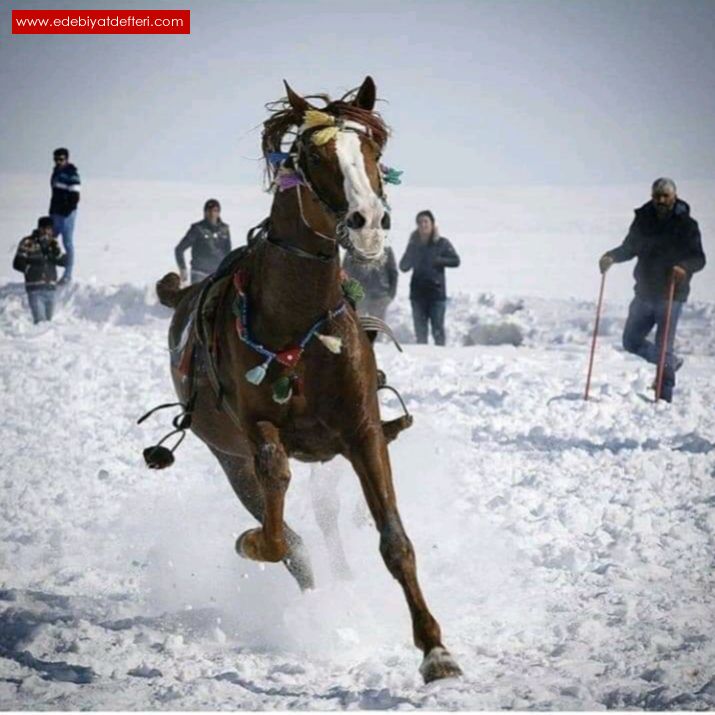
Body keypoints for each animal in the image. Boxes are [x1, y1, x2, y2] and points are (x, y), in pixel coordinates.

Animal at [154, 77, 462, 684]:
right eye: (314, 157)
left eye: (373, 151)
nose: (369, 221)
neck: (299, 323)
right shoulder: (256, 431)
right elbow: (279, 523)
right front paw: (255, 543)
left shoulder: (363, 432)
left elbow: (395, 541)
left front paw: (435, 649)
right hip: (227, 455)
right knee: (288, 529)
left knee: (325, 515)